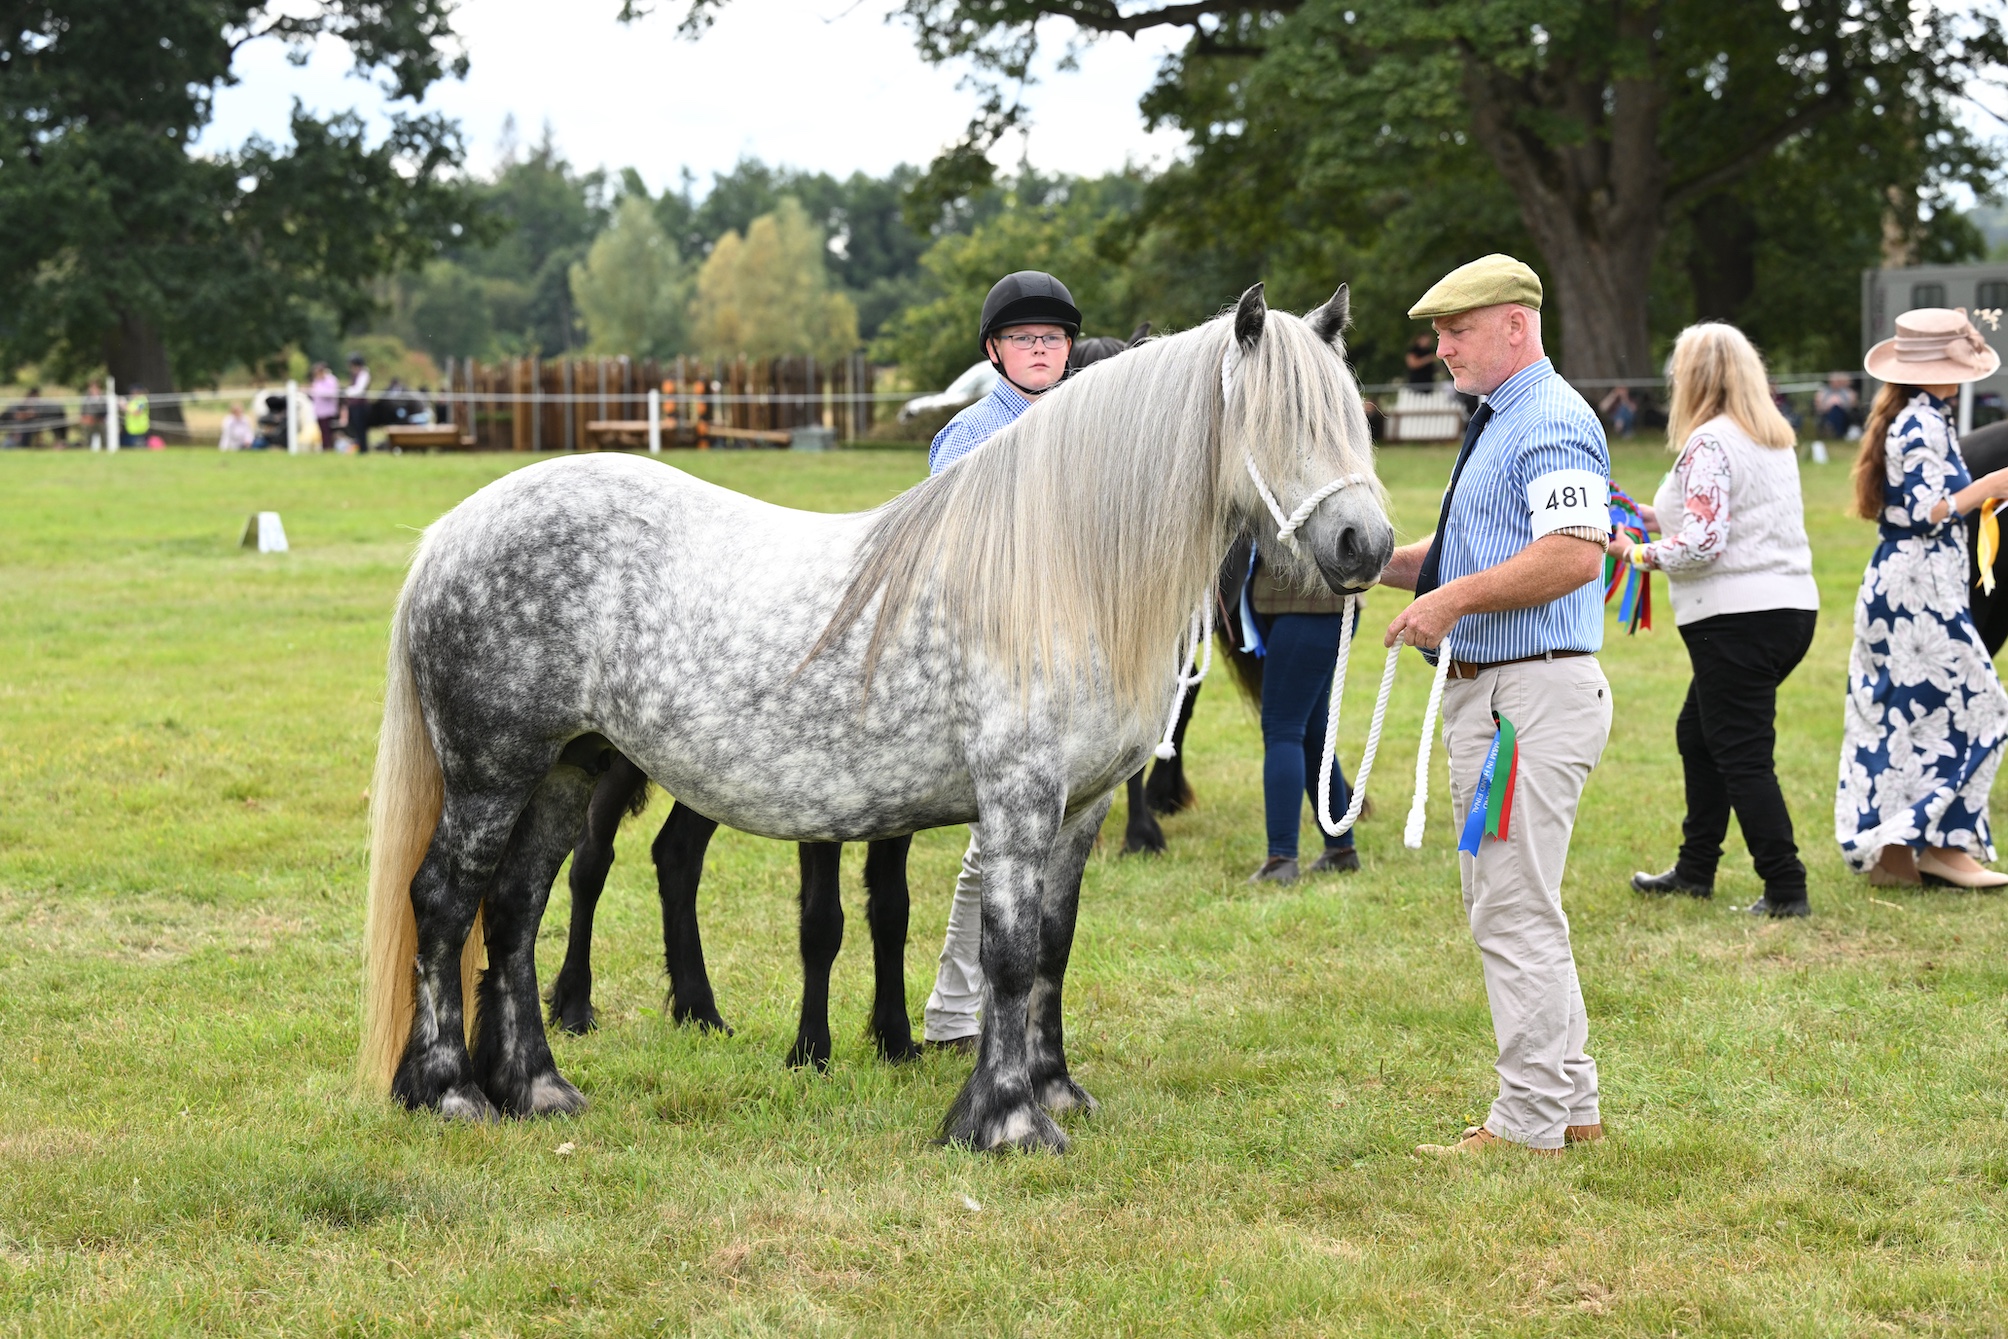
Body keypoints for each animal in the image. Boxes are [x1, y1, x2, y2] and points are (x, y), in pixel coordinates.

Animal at [358, 281, 1393, 1150]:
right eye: (1285, 424)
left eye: (1356, 420)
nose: (1368, 544)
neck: (1055, 566)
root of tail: (452, 531)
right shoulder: (1017, 801)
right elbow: (1007, 950)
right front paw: (1007, 1122)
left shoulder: (1082, 806)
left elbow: (1052, 947)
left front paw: (1056, 1091)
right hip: (494, 771)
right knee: (446, 900)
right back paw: (449, 1091)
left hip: (565, 767)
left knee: (515, 908)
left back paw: (536, 1087)